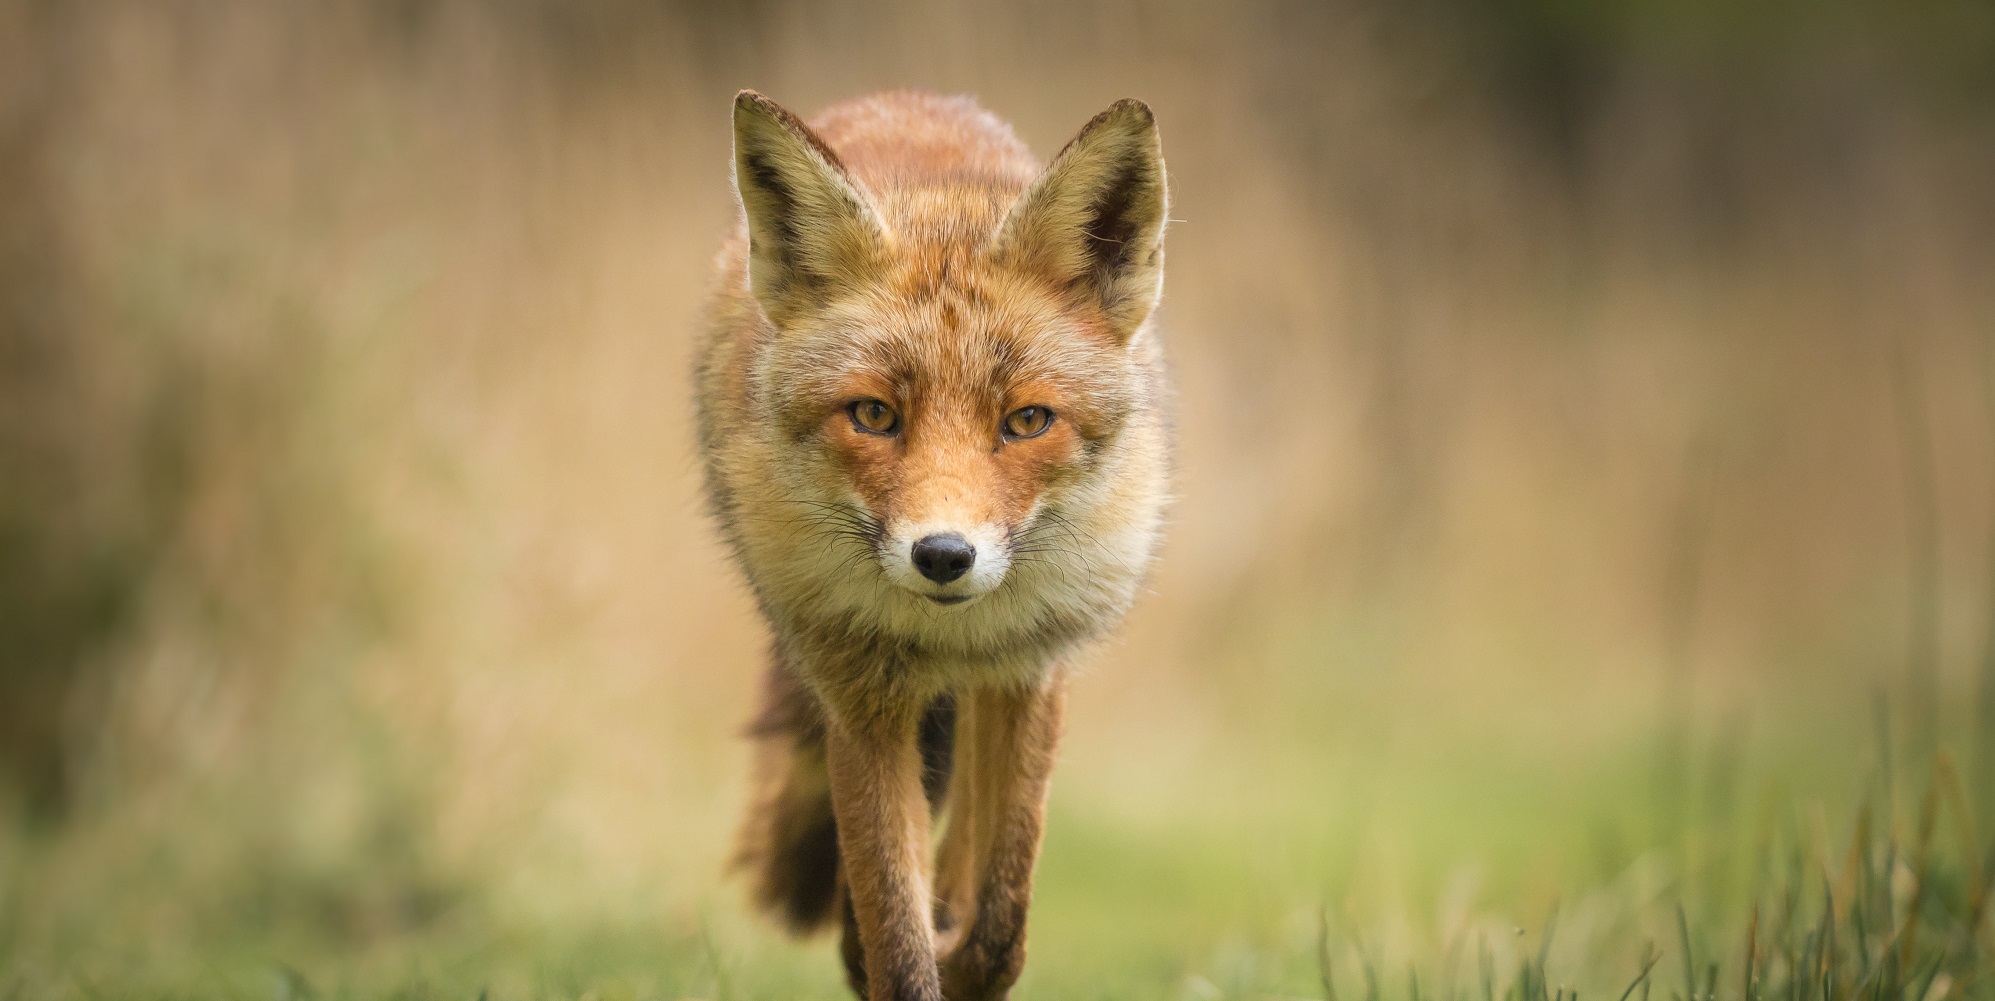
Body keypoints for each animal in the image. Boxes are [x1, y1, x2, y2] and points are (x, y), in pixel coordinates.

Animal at [695, 89, 1172, 1001]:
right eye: (874, 414)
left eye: (1027, 420)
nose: (943, 555)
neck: (945, 632)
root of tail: (905, 99)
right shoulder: (859, 695)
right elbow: (893, 926)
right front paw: (896, 949)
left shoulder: (1030, 670)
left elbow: (998, 916)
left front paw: (965, 949)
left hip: (988, 689)